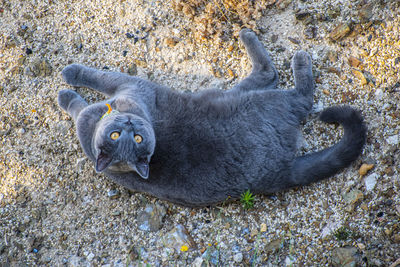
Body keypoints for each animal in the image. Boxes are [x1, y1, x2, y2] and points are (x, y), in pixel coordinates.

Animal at [57, 29, 368, 207]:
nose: (130, 122)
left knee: (272, 78)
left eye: (136, 137)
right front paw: (69, 84)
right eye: (118, 136)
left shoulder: (123, 91)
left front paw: (66, 89)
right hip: (255, 101)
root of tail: (281, 171)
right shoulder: (130, 87)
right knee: (288, 88)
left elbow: (90, 89)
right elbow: (96, 81)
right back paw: (285, 52)